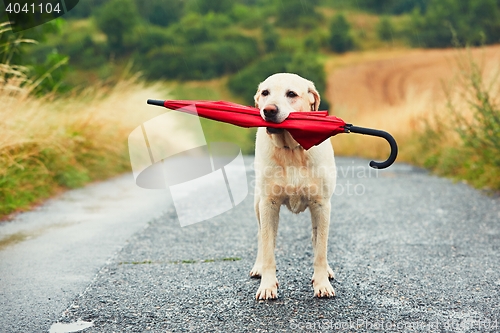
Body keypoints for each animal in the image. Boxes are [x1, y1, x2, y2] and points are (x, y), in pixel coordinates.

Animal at [250, 72, 336, 298]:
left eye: (291, 94)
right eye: (265, 93)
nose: (269, 110)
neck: (292, 150)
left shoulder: (321, 205)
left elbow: (320, 249)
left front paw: (322, 283)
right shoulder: (268, 204)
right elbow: (269, 249)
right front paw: (267, 286)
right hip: (258, 205)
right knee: (262, 236)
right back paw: (258, 267)